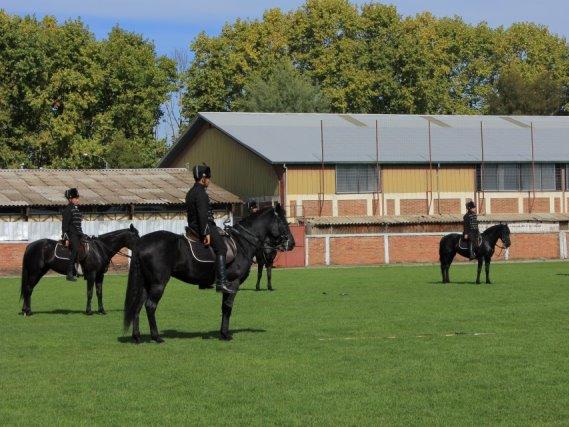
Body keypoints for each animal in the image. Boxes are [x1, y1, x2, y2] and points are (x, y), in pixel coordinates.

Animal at [123, 205, 292, 344]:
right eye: (283, 222)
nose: (292, 243)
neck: (241, 243)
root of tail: (142, 243)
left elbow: (224, 308)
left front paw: (222, 333)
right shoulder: (233, 283)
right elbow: (228, 307)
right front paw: (225, 335)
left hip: (146, 284)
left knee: (137, 306)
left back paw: (137, 337)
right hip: (158, 284)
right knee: (150, 306)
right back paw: (156, 337)